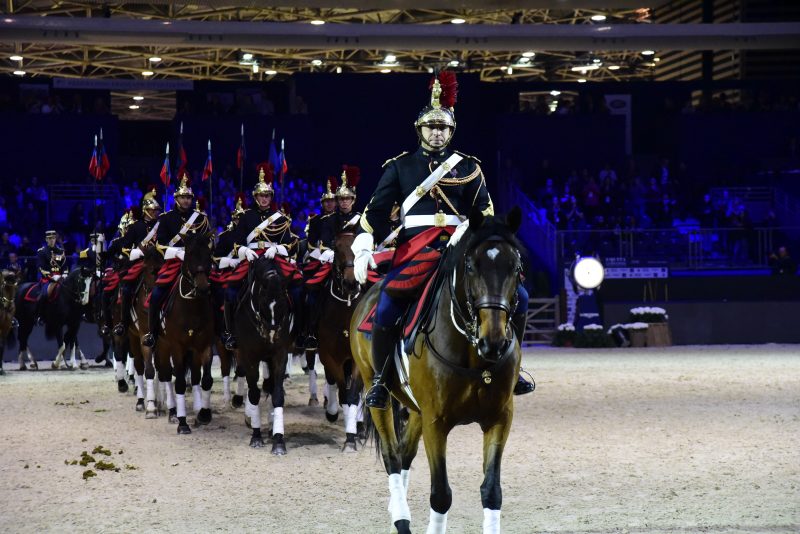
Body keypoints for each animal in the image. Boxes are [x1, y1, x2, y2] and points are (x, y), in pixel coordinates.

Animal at [152, 232, 216, 438]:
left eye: (208, 256)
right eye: (189, 255)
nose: (203, 288)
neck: (191, 307)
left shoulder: (204, 346)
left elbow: (206, 380)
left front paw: (204, 414)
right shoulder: (177, 348)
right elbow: (179, 382)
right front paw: (182, 423)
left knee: (194, 377)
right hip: (162, 347)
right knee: (166, 375)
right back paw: (173, 413)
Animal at [230, 253, 292, 454]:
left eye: (284, 302)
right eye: (263, 301)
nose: (272, 335)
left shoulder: (279, 354)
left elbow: (278, 394)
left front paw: (278, 440)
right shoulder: (250, 356)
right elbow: (254, 394)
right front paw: (256, 436)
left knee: (269, 385)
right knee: (248, 382)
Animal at [350, 209, 524, 534]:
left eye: (516, 267)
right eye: (471, 266)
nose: (493, 341)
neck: (474, 355)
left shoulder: (499, 418)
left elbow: (491, 491)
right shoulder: (436, 423)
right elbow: (441, 495)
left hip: (416, 408)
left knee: (404, 454)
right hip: (376, 393)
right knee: (392, 458)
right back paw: (401, 518)